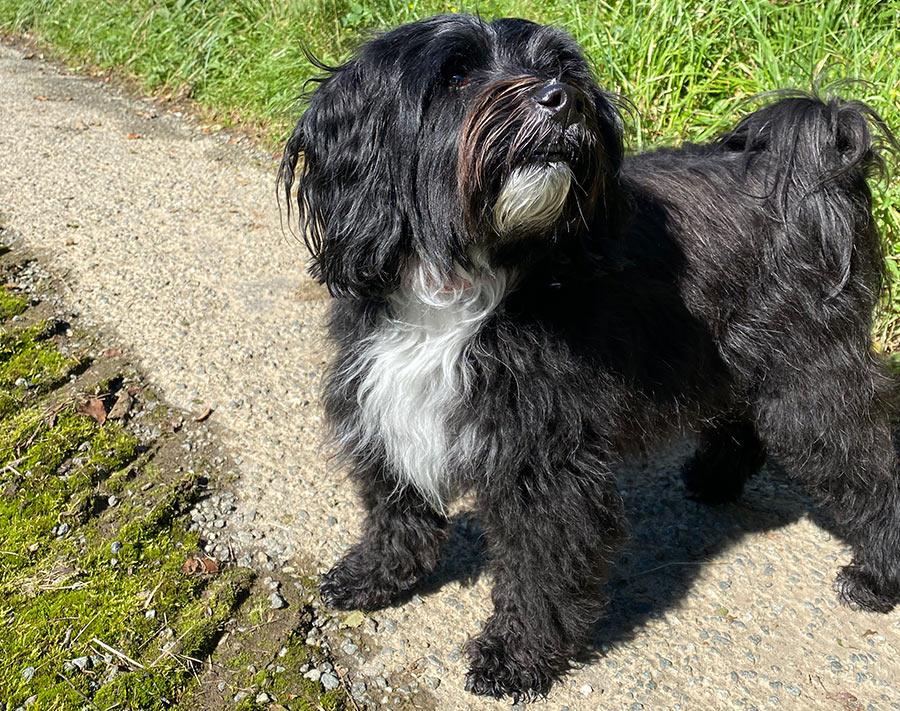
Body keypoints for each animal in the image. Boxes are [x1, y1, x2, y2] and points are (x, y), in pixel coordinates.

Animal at [278, 15, 896, 700]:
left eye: (563, 71)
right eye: (457, 74)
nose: (561, 99)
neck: (467, 277)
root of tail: (821, 167)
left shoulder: (544, 454)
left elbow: (541, 563)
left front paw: (516, 656)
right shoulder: (383, 394)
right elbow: (394, 505)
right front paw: (372, 576)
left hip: (809, 378)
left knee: (871, 464)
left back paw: (876, 576)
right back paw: (713, 479)